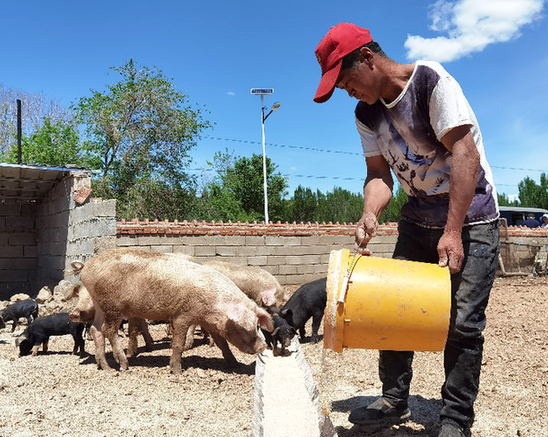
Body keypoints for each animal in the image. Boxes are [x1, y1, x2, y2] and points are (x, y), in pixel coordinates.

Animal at [71, 247, 272, 372]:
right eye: (248, 327)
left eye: (258, 325)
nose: (263, 346)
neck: (214, 304)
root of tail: (87, 267)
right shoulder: (182, 315)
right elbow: (178, 343)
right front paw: (177, 371)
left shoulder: (209, 322)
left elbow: (222, 343)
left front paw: (234, 364)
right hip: (112, 307)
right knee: (108, 330)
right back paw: (124, 365)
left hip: (99, 305)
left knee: (96, 330)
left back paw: (105, 367)